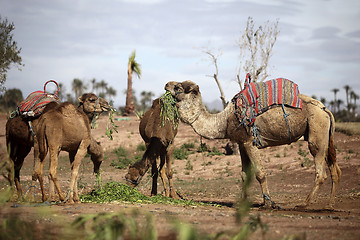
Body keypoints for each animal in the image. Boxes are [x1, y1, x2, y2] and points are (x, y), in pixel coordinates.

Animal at [170, 80, 342, 208]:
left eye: (178, 87)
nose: (166, 84)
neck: (223, 121)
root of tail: (326, 110)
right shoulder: (241, 143)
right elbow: (244, 174)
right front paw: (241, 203)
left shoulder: (249, 141)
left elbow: (260, 173)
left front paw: (268, 203)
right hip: (325, 137)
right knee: (335, 169)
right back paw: (330, 205)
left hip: (316, 131)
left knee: (321, 171)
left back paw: (304, 204)